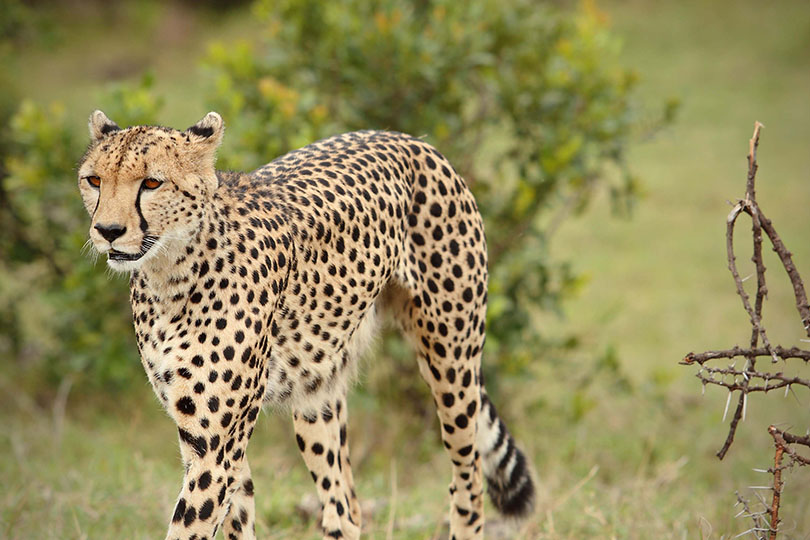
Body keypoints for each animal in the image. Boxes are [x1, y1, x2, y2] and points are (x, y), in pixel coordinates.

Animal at [79, 110, 532, 540]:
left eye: (152, 183)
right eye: (94, 180)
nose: (108, 231)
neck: (170, 274)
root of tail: (407, 139)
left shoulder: (216, 445)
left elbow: (189, 526)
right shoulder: (205, 438)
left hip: (452, 364)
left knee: (468, 483)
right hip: (317, 391)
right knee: (344, 508)